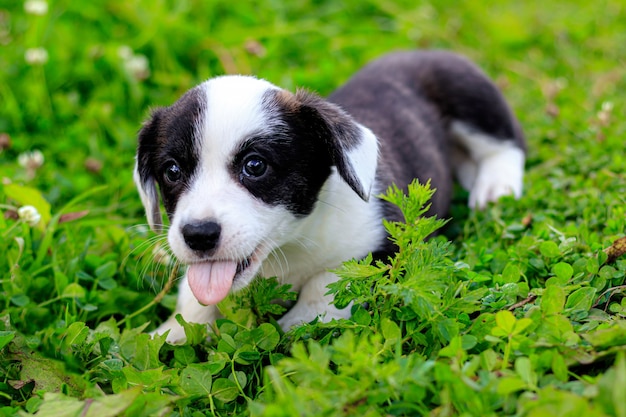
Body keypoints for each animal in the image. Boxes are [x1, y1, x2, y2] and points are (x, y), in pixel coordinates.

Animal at [134, 49, 524, 342]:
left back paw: (495, 186)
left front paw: (297, 323)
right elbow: (192, 298)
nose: (198, 235)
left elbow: (331, 281)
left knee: (507, 143)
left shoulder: (385, 243)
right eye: (172, 171)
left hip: (470, 95)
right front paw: (172, 332)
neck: (288, 249)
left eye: (255, 166)